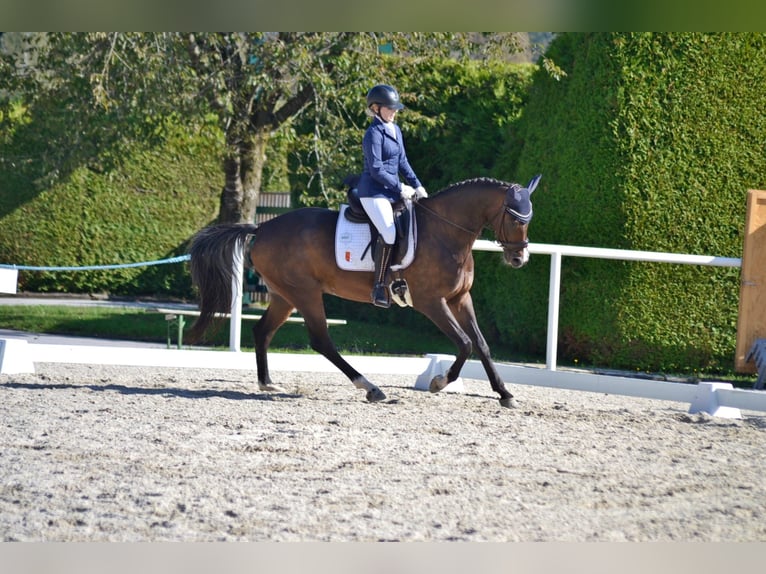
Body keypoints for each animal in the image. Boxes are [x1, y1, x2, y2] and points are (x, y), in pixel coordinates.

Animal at [190, 176, 544, 410]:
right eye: (516, 219)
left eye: (529, 218)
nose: (519, 259)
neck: (445, 232)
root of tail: (262, 227)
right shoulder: (431, 302)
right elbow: (465, 343)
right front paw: (438, 382)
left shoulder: (460, 299)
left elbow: (481, 345)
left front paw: (505, 394)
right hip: (304, 294)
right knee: (321, 341)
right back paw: (371, 388)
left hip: (283, 296)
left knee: (262, 331)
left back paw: (267, 382)